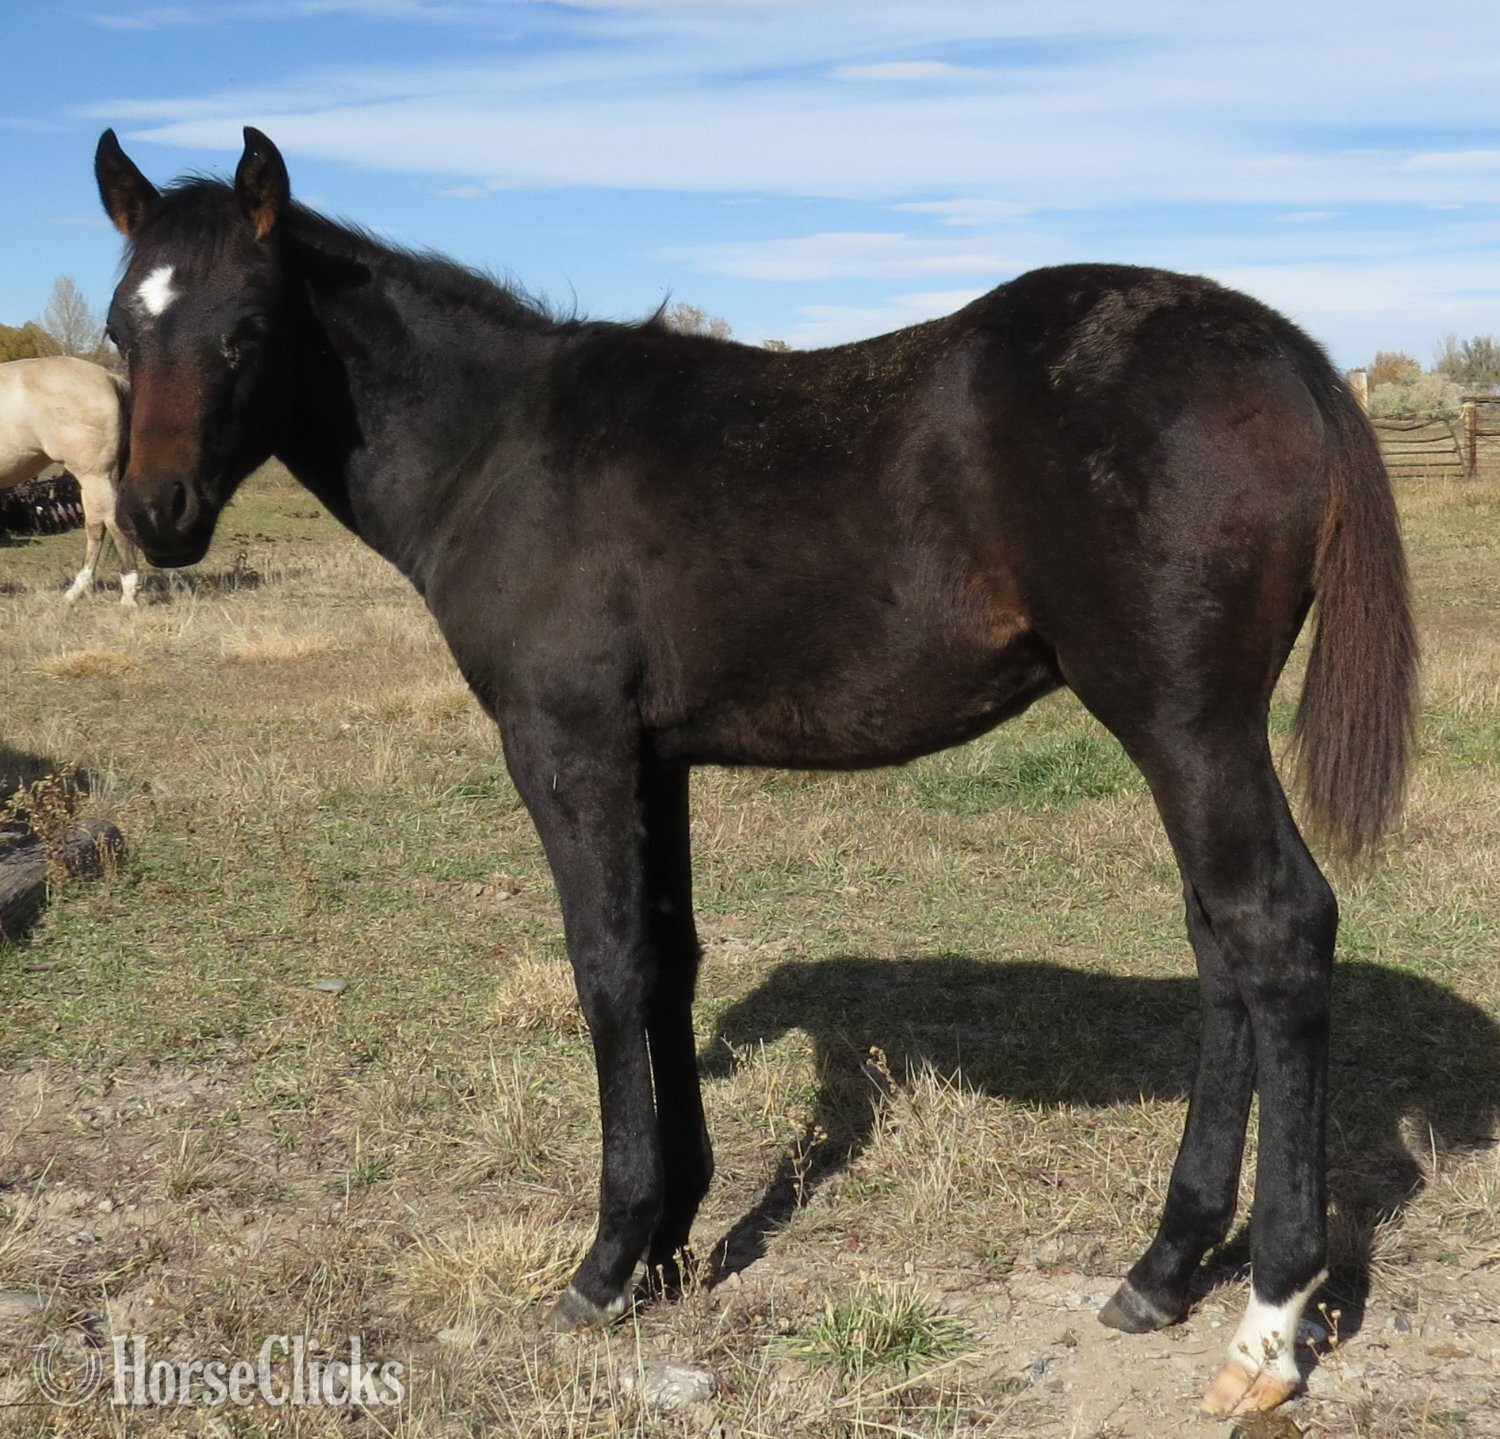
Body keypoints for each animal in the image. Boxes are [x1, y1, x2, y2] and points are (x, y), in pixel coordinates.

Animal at [0, 355, 140, 605]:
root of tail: (109, 377)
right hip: (94, 480)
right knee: (95, 527)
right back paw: (77, 591)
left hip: (95, 476)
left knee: (112, 524)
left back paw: (128, 596)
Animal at [93, 127, 1417, 1416]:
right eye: (120, 328)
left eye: (246, 325)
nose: (155, 513)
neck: (501, 451)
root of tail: (1289, 351)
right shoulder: (654, 757)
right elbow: (668, 959)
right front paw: (673, 1241)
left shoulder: (565, 743)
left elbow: (608, 971)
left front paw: (608, 1258)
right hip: (1190, 734)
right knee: (1220, 944)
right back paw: (1165, 1265)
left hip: (1186, 721)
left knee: (1274, 928)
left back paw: (1268, 1321)